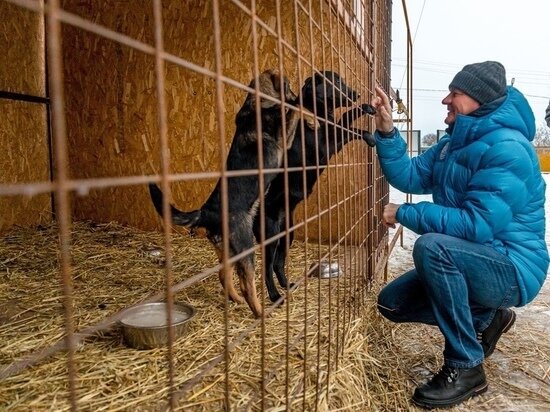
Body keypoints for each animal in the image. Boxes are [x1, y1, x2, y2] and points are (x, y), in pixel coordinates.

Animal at [149, 69, 300, 318]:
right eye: (289, 86)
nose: (295, 94)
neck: (256, 102)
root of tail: (206, 212)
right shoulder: (282, 139)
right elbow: (295, 111)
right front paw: (302, 102)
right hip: (246, 247)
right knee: (247, 285)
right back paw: (260, 312)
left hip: (227, 250)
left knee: (224, 276)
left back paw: (236, 299)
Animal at [256, 71, 380, 302]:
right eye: (336, 81)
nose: (357, 94)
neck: (316, 111)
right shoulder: (328, 143)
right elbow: (351, 129)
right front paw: (369, 137)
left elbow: (347, 118)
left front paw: (366, 107)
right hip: (271, 239)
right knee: (266, 269)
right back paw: (275, 296)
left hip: (287, 236)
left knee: (278, 264)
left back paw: (288, 286)